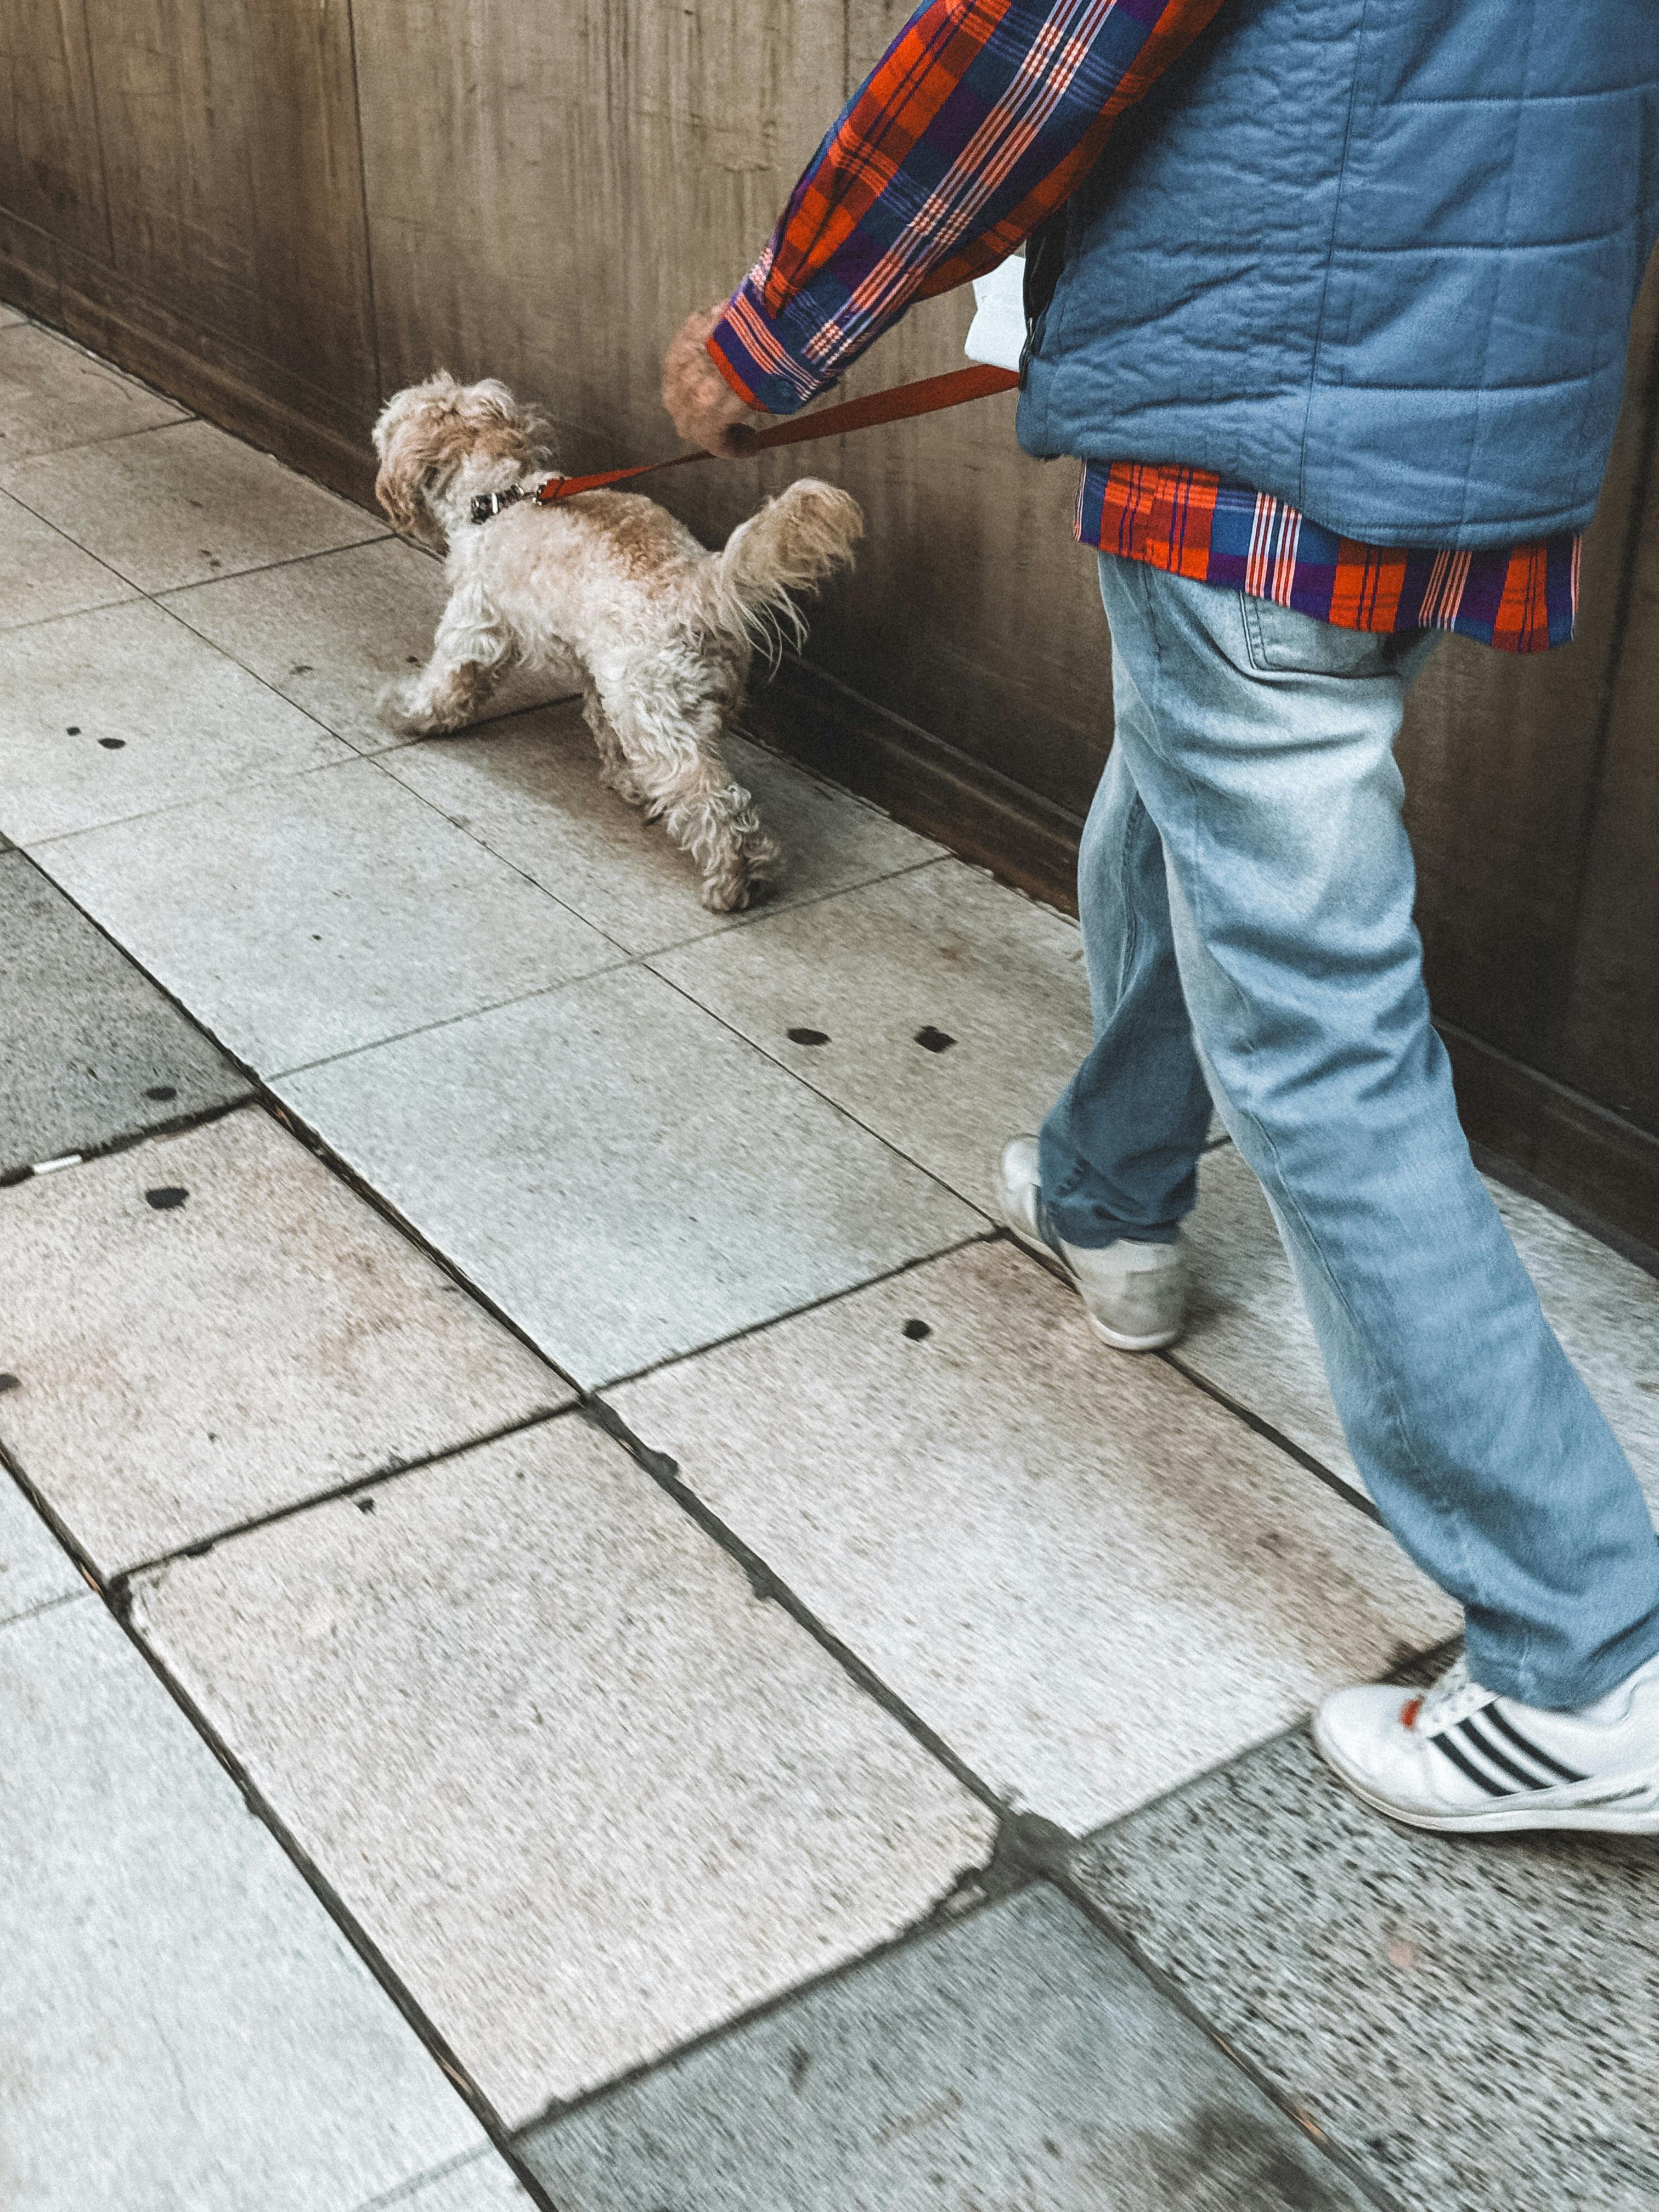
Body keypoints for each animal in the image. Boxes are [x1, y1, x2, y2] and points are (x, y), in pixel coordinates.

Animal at [371, 371, 862, 907]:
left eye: (388, 425)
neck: (497, 496)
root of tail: (696, 586)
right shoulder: (597, 670)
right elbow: (601, 721)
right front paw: (624, 776)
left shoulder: (477, 622)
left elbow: (450, 680)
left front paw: (407, 711)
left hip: (653, 709)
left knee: (709, 796)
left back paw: (734, 878)